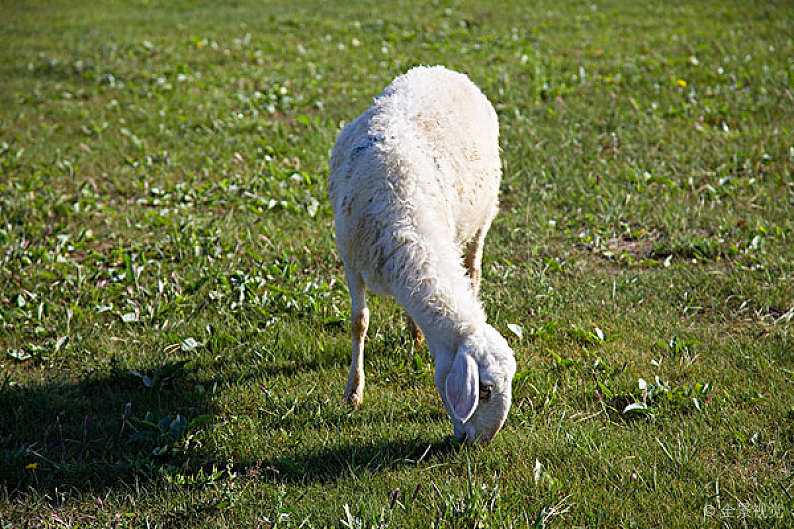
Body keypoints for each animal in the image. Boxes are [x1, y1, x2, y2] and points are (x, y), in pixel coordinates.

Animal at [326, 64, 516, 442]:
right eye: (485, 390)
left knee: (473, 272)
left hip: (483, 218)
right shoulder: (351, 262)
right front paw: (353, 392)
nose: (480, 443)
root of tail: (441, 69)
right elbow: (359, 323)